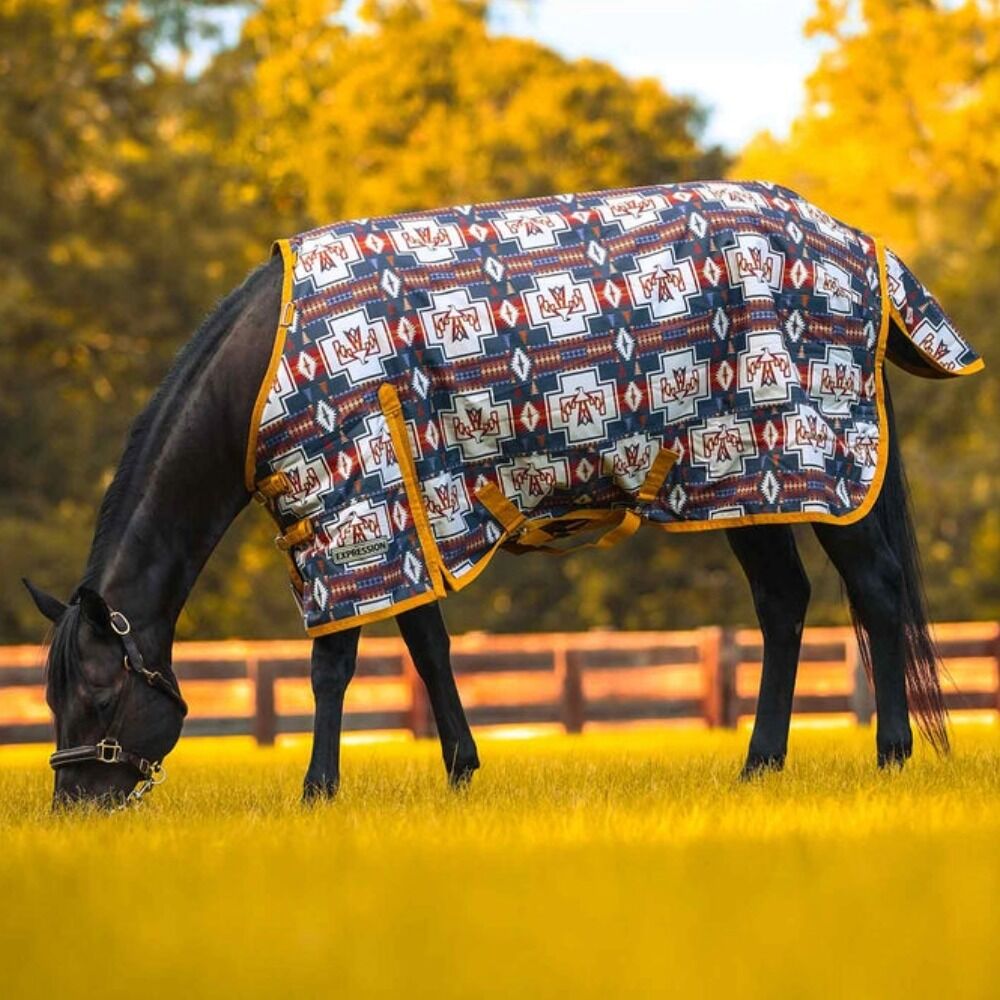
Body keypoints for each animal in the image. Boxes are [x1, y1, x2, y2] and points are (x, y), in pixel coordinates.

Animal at [24, 179, 982, 807]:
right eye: (50, 696)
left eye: (99, 695)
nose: (78, 808)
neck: (270, 363)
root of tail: (852, 242)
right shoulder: (408, 515)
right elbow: (429, 649)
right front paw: (460, 769)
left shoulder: (352, 514)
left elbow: (333, 665)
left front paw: (317, 790)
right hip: (744, 477)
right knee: (784, 604)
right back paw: (759, 764)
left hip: (819, 460)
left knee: (876, 591)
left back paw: (892, 755)